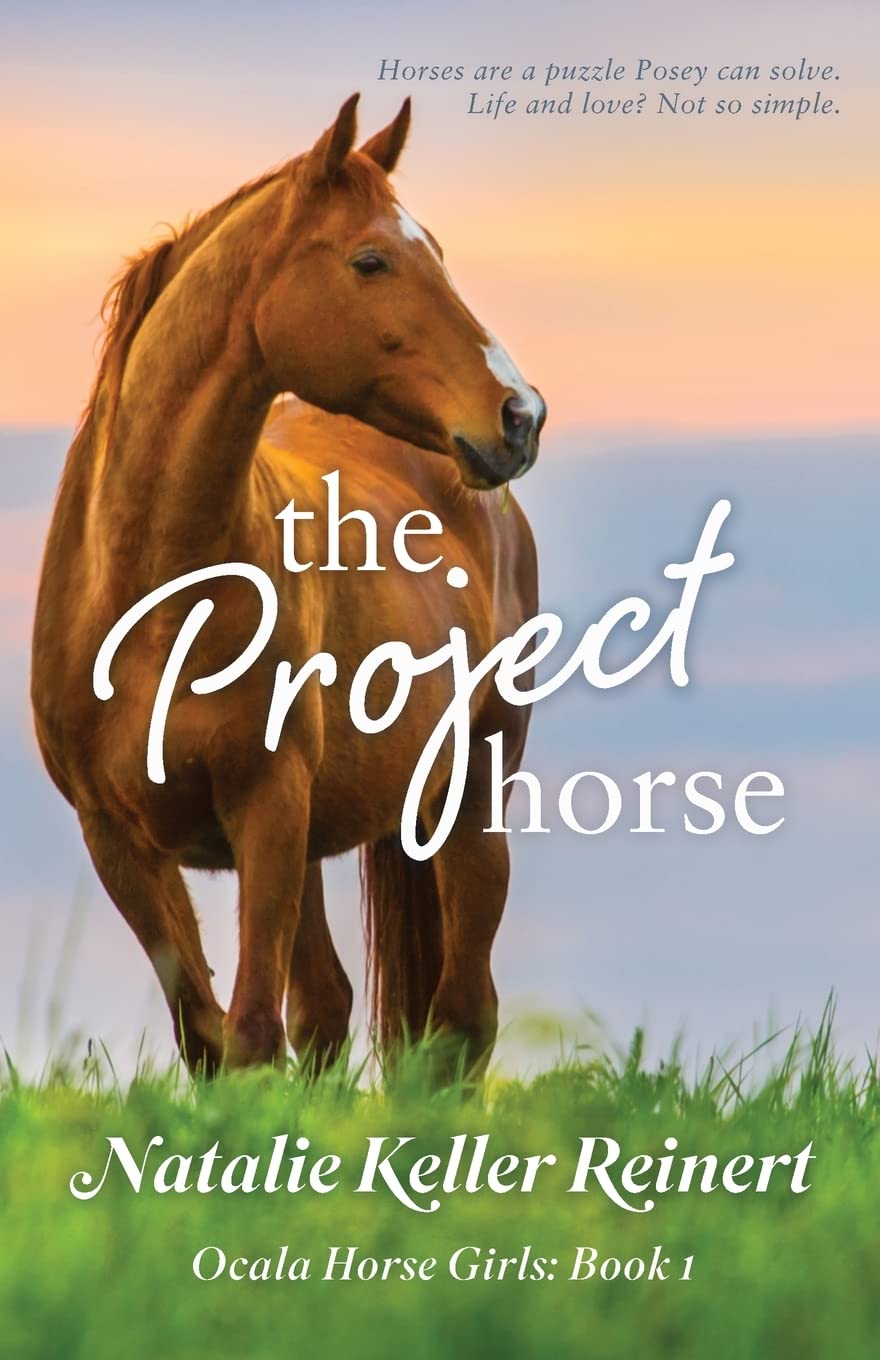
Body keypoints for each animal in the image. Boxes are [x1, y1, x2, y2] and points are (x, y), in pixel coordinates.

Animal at [31, 94, 545, 1079]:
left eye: (437, 251)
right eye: (370, 259)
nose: (520, 416)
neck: (154, 600)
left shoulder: (267, 813)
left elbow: (256, 1032)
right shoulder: (120, 842)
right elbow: (214, 1039)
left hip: (467, 800)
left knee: (463, 1020)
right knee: (334, 1009)